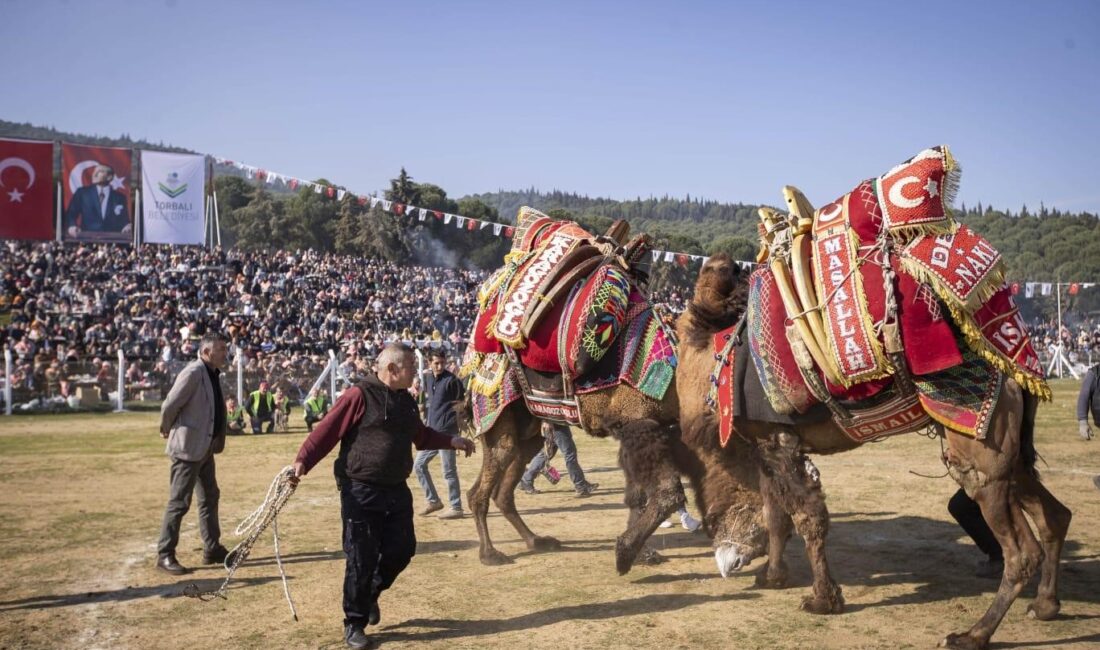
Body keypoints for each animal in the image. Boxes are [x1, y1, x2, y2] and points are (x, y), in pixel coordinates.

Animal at [673, 254, 1069, 650]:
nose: (725, 561)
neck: (715, 362)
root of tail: (1019, 363)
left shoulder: (778, 438)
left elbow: (807, 518)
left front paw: (823, 600)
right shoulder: (765, 443)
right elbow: (775, 513)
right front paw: (772, 578)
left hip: (980, 441)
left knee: (1019, 549)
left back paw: (973, 634)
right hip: (1009, 454)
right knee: (1053, 514)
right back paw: (1045, 605)